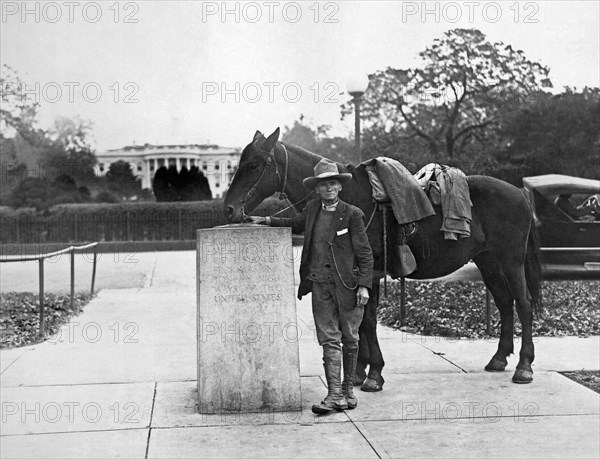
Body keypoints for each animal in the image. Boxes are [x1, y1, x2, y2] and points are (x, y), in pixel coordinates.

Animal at [223, 128, 540, 388]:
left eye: (253, 165)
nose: (228, 209)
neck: (351, 196)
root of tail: (520, 194)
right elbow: (359, 320)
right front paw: (360, 370)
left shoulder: (370, 271)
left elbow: (367, 321)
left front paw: (373, 373)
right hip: (488, 262)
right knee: (505, 302)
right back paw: (499, 358)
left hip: (511, 261)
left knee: (523, 304)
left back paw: (524, 366)